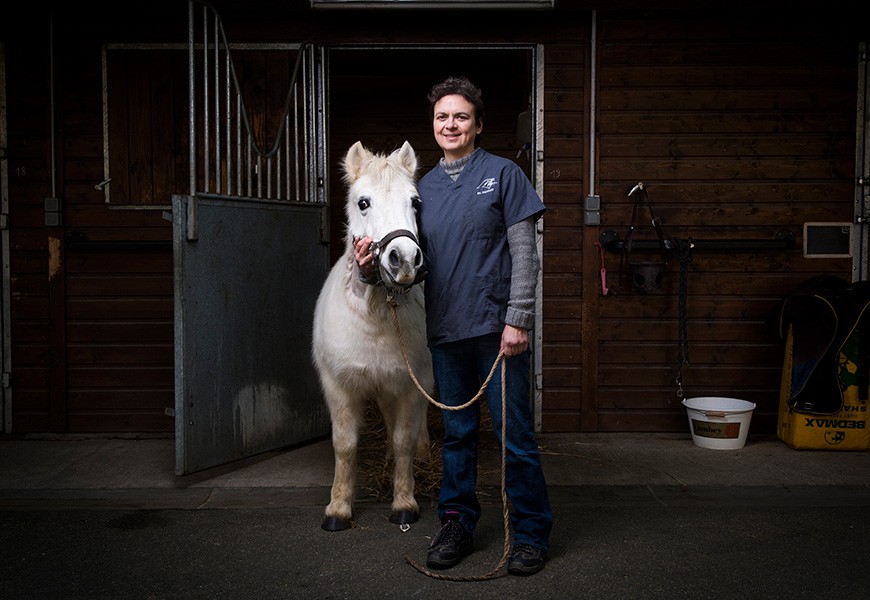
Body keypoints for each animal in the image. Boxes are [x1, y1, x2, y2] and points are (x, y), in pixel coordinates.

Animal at [314, 142, 436, 536]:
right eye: (363, 202)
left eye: (415, 202)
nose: (405, 260)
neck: (376, 315)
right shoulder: (338, 385)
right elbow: (345, 445)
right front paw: (338, 509)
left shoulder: (411, 384)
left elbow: (404, 439)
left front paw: (404, 503)